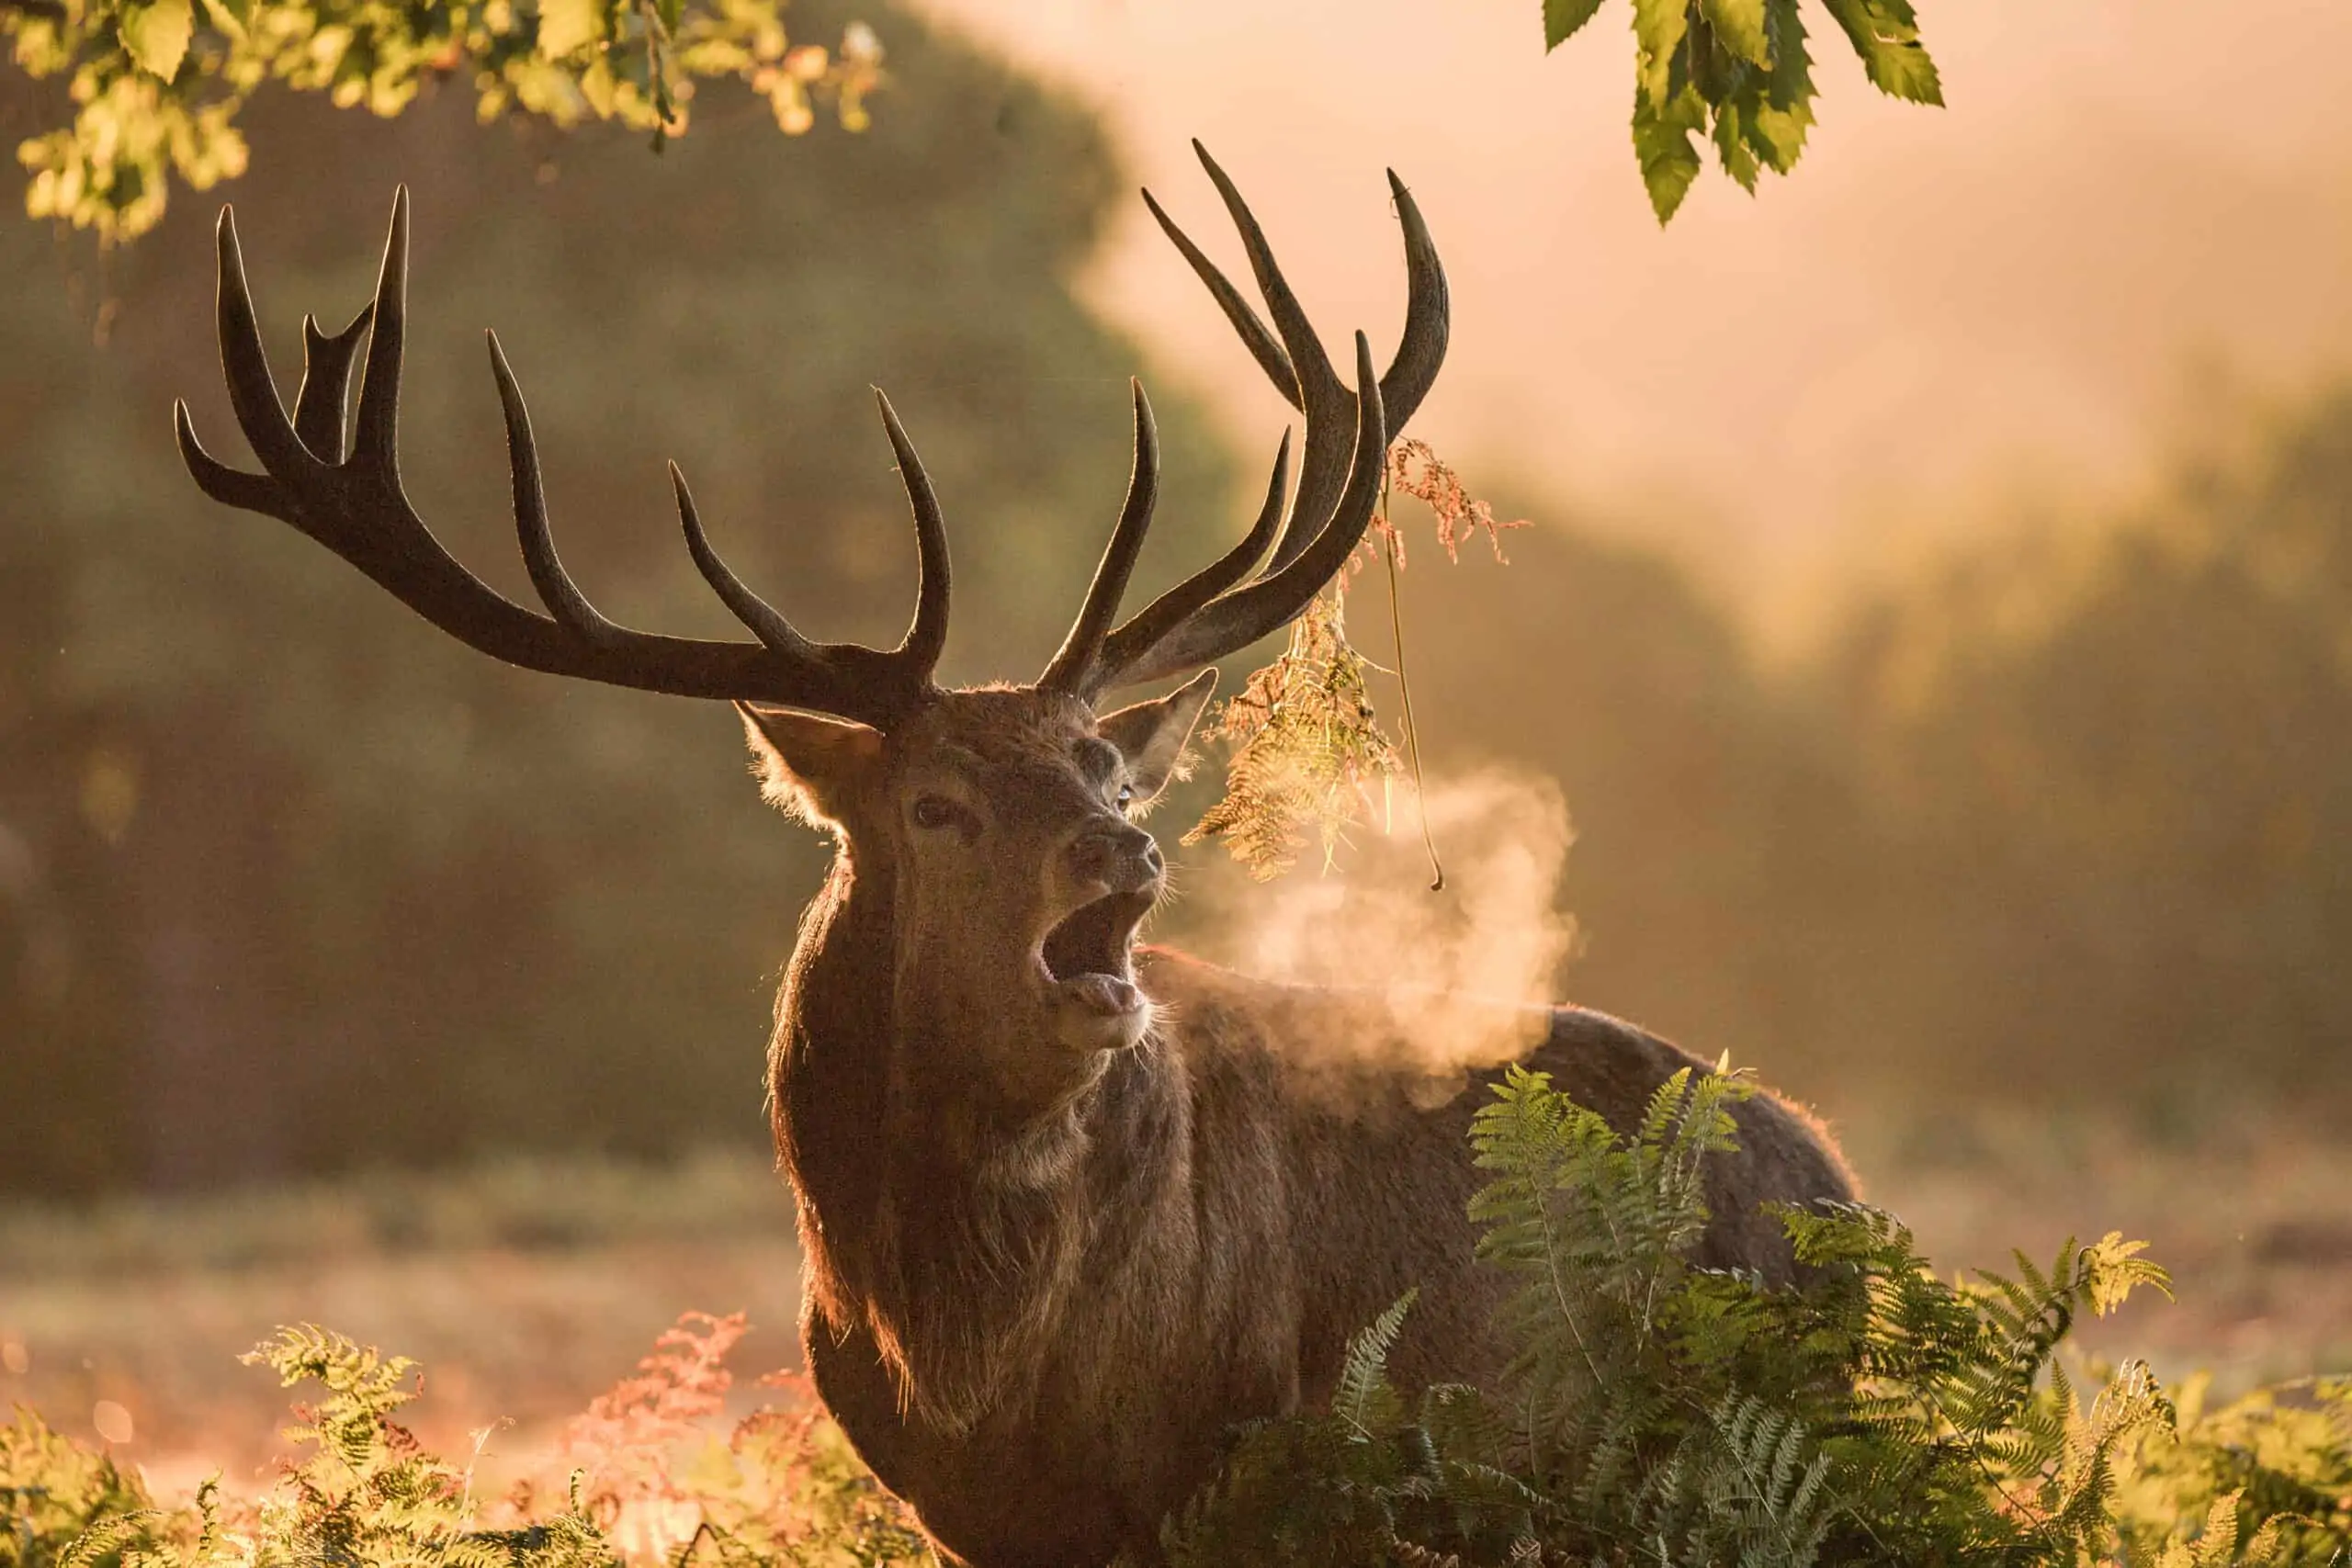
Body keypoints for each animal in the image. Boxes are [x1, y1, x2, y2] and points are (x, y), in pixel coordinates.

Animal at [173, 145, 1856, 1568]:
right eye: (937, 805)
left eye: (1104, 762)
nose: (1123, 846)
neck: (968, 1361)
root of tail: (1832, 1180)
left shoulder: (1246, 1473)